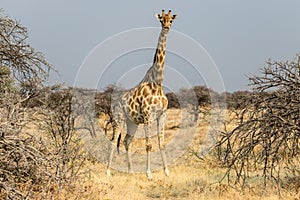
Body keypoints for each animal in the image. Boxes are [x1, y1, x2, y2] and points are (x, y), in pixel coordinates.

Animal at [106, 10, 177, 180]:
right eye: (161, 20)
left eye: (171, 20)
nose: (166, 27)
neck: (157, 82)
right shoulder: (148, 116)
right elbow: (149, 145)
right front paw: (149, 174)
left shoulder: (162, 115)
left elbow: (161, 143)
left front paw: (167, 172)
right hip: (118, 119)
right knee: (113, 140)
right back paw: (108, 172)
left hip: (132, 122)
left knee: (126, 141)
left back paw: (131, 172)